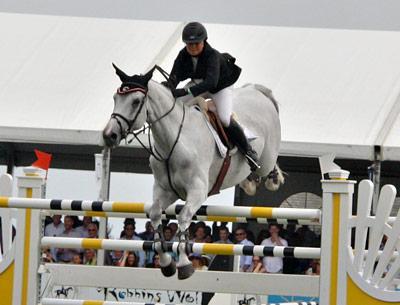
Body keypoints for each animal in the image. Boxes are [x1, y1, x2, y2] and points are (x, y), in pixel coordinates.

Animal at [103, 65, 284, 280]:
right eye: (115, 98)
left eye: (136, 101)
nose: (109, 135)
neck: (174, 141)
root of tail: (257, 91)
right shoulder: (166, 190)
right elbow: (155, 215)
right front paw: (167, 264)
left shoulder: (197, 191)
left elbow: (183, 218)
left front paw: (183, 264)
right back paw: (249, 181)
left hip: (267, 157)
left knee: (268, 165)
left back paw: (271, 177)